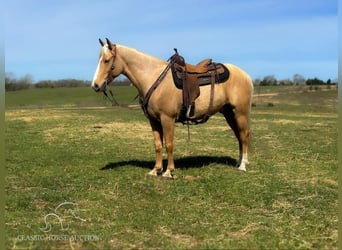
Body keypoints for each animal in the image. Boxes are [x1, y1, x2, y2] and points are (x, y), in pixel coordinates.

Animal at [92, 37, 252, 178]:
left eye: (106, 60)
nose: (95, 85)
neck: (153, 78)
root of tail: (245, 75)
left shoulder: (167, 119)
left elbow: (169, 144)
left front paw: (168, 172)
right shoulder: (154, 121)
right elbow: (158, 145)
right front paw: (155, 170)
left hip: (240, 112)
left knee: (244, 135)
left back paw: (243, 165)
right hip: (229, 113)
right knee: (238, 136)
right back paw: (239, 163)